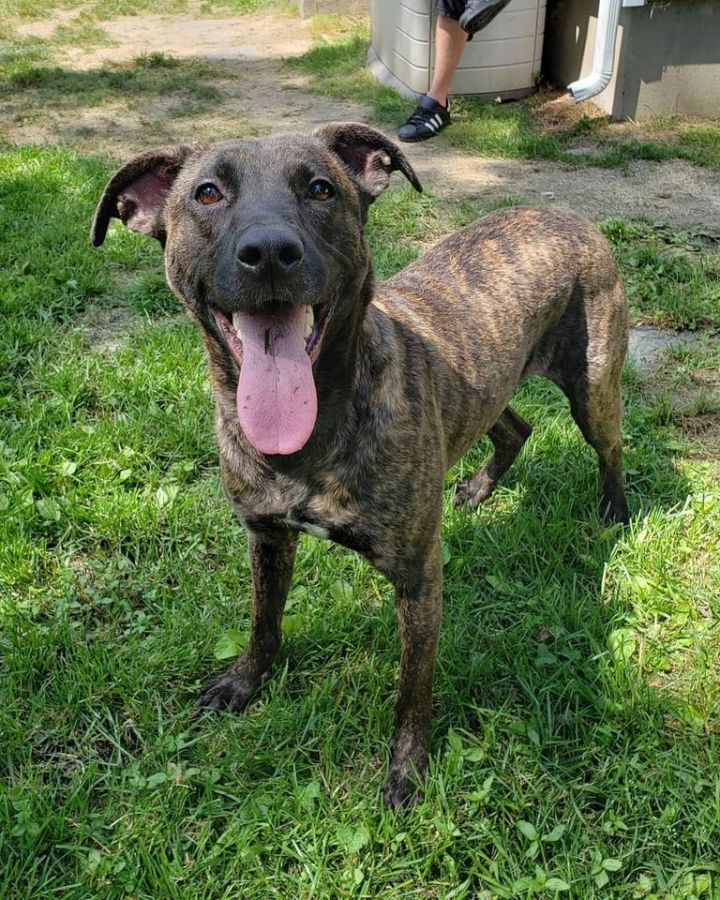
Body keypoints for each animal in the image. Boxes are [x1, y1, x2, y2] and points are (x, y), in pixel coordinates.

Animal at [93, 121, 628, 808]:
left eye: (321, 188)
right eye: (207, 192)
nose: (270, 251)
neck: (314, 434)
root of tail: (567, 216)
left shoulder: (418, 577)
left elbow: (412, 688)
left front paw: (407, 769)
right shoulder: (266, 537)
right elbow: (264, 620)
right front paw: (245, 681)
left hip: (592, 386)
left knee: (609, 447)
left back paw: (613, 510)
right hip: (486, 388)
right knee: (516, 426)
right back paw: (478, 488)